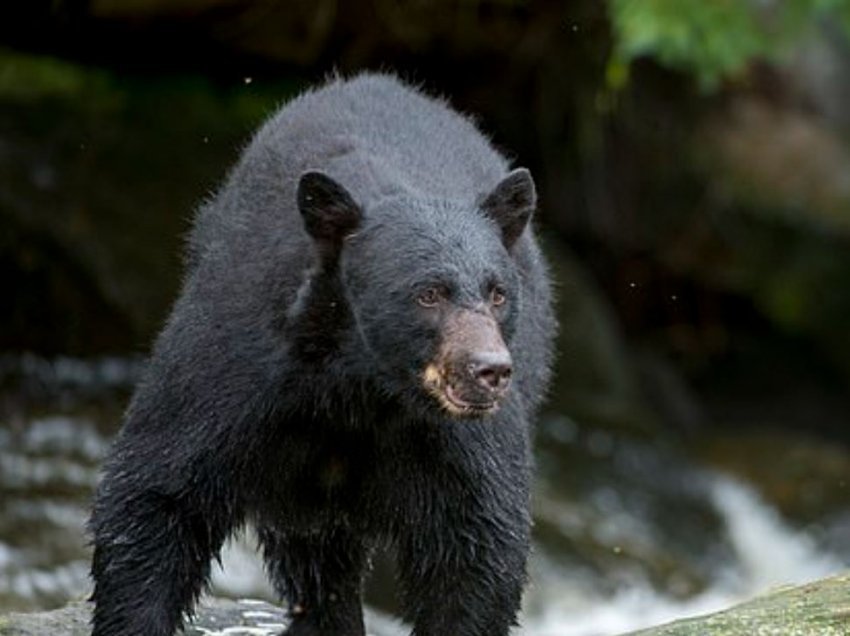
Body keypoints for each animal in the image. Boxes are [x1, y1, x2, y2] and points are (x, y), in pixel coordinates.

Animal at [89, 74, 552, 636]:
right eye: (428, 293)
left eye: (497, 292)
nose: (490, 371)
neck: (361, 386)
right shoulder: (238, 366)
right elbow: (159, 491)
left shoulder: (454, 441)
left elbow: (477, 541)